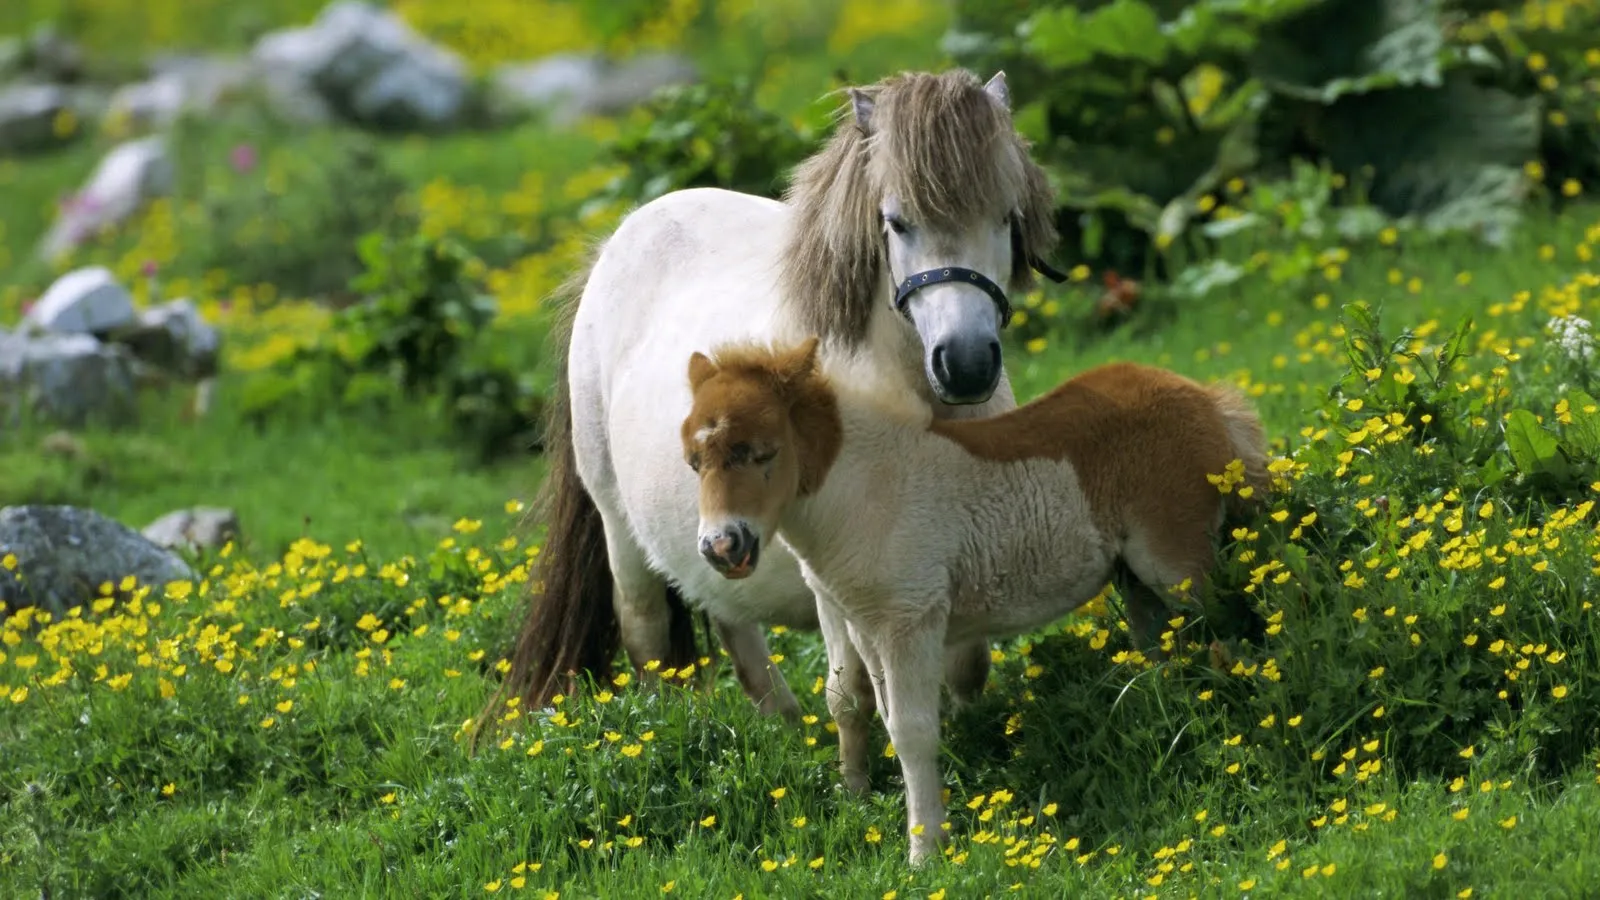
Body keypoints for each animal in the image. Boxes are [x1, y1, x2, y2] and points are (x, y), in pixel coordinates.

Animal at [486, 66, 1062, 717]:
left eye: (1006, 217)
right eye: (896, 222)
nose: (965, 364)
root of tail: (617, 241)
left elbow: (966, 665)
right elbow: (854, 689)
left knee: (733, 625)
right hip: (618, 526)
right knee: (647, 634)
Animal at [681, 336, 1267, 864]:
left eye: (763, 452)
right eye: (692, 462)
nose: (721, 547)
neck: (864, 490)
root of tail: (1206, 397)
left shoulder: (911, 621)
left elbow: (914, 731)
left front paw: (925, 852)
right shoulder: (867, 626)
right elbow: (879, 717)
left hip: (1177, 566)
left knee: (1234, 627)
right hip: (1136, 579)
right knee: (1163, 651)